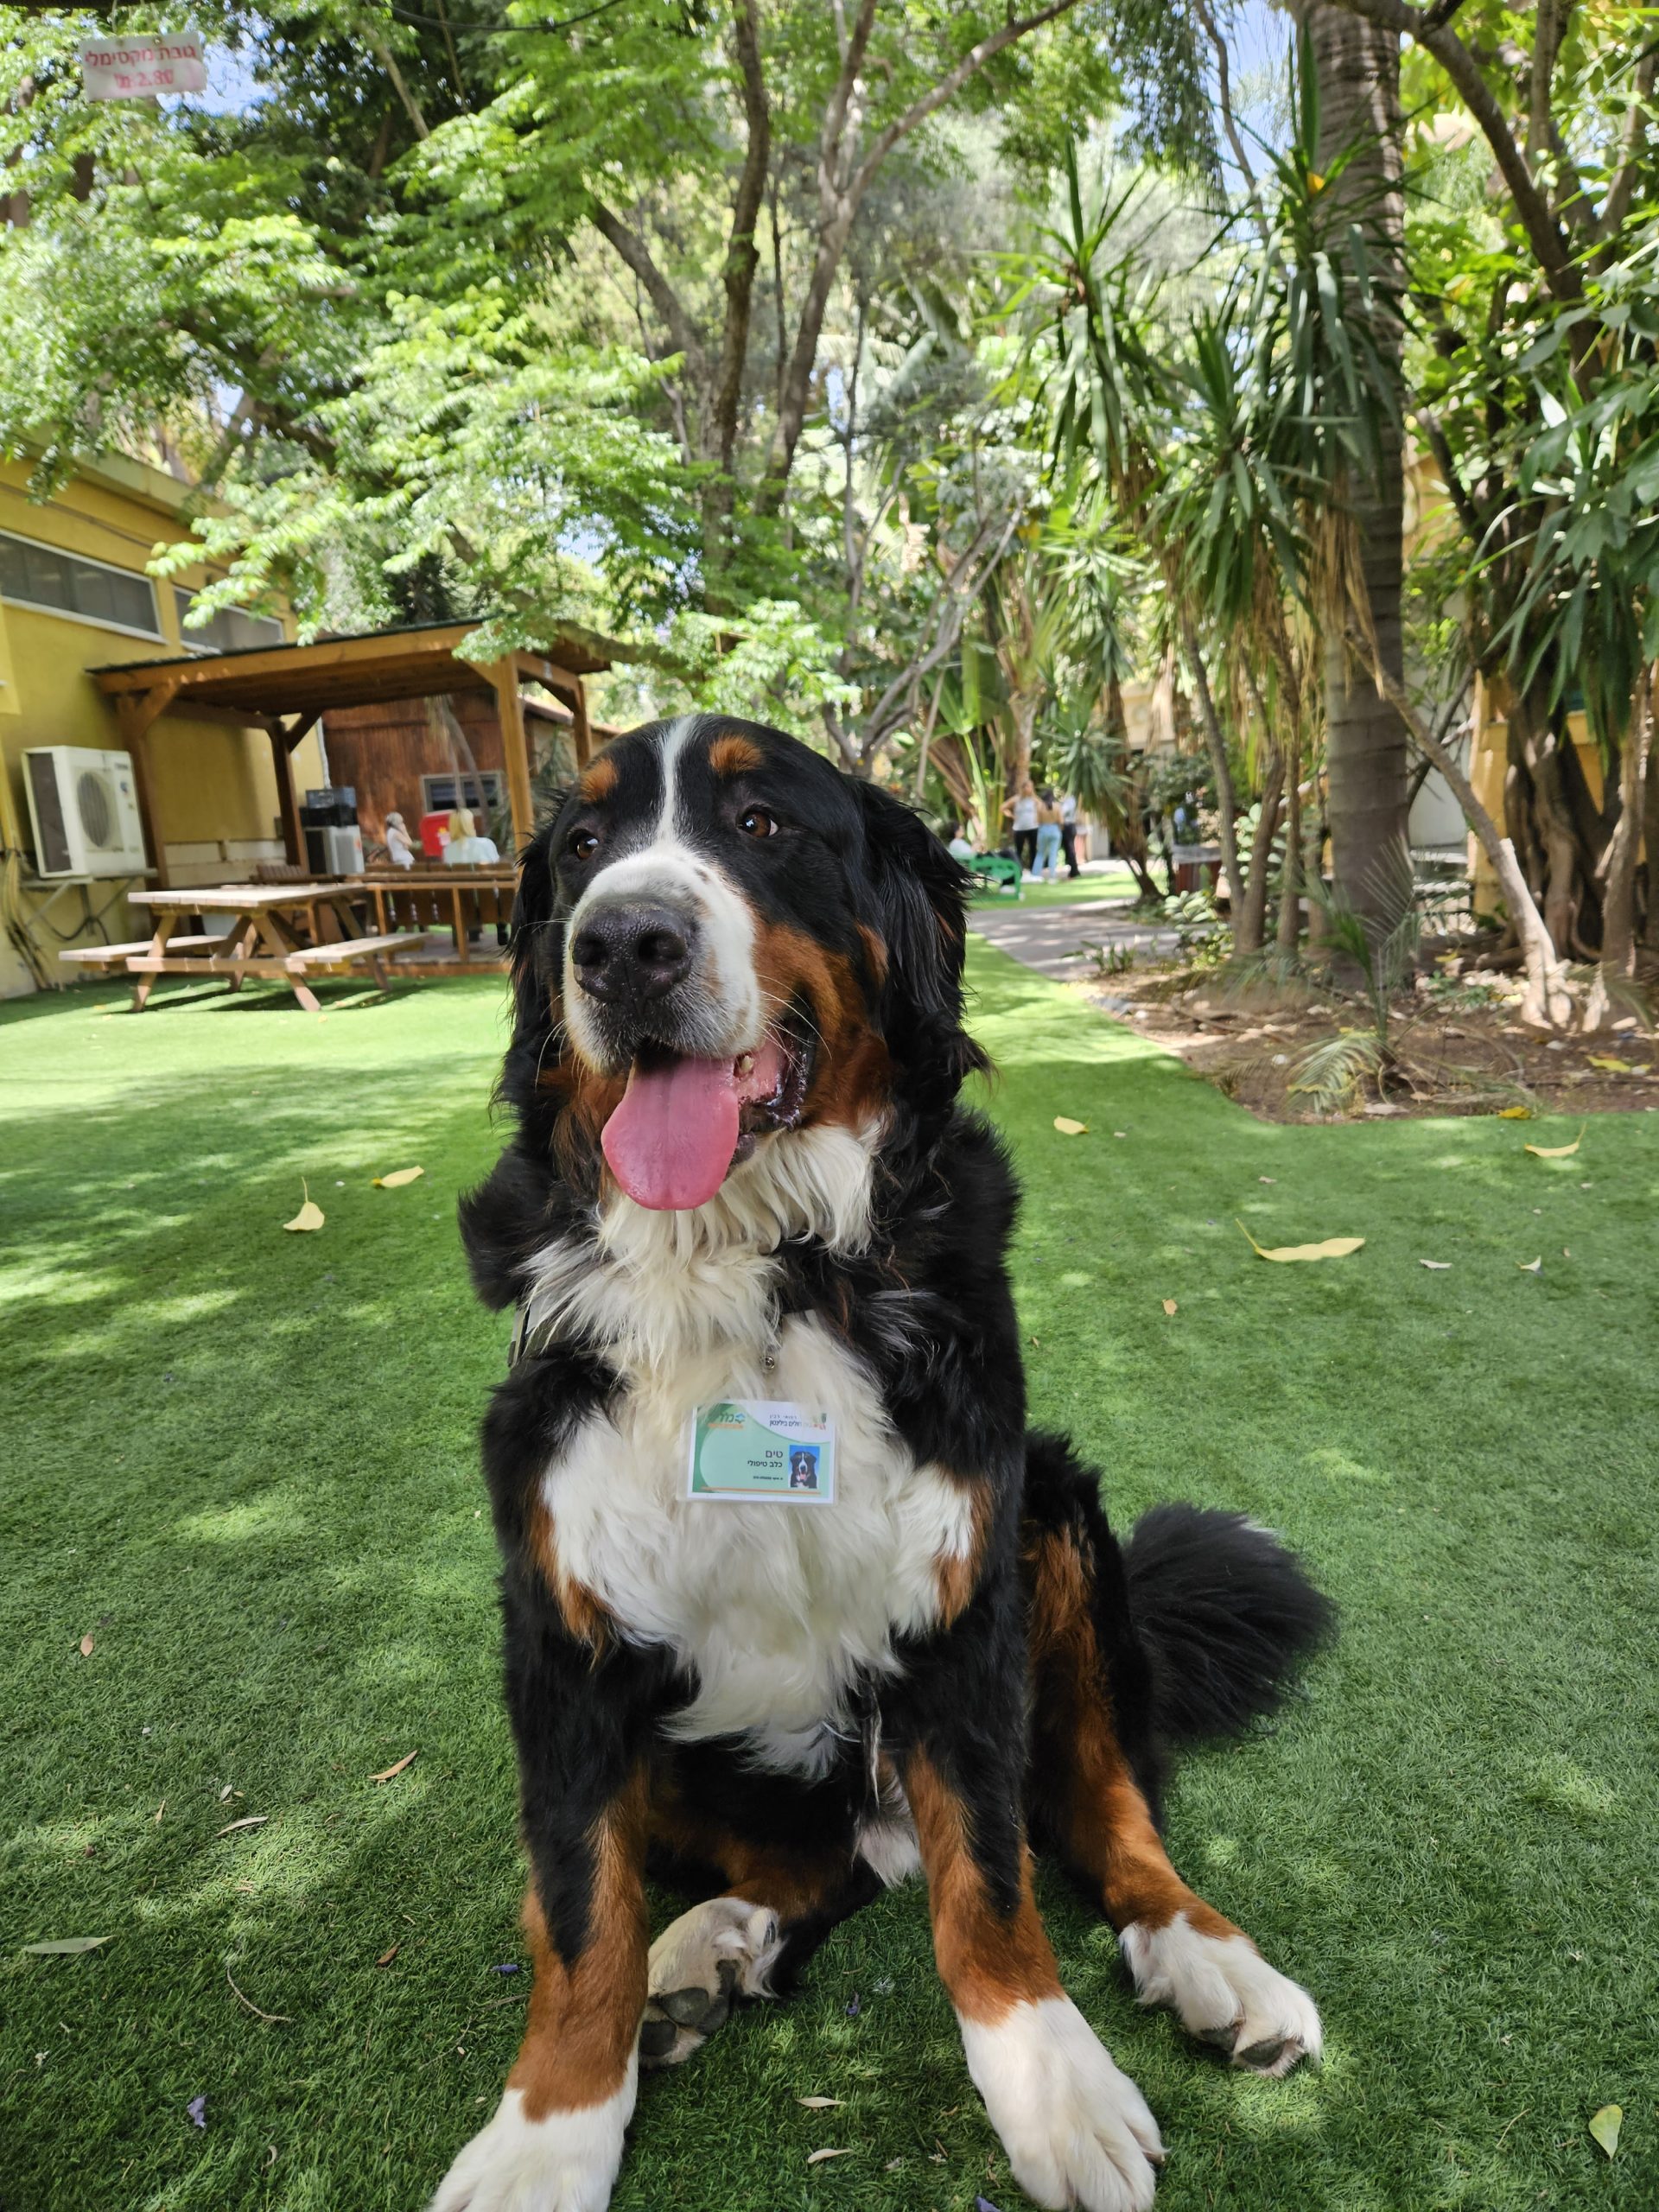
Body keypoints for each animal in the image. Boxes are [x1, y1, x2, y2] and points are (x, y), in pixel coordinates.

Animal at [435, 716, 1336, 2202]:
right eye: (582, 846)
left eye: (762, 824)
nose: (622, 944)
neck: (759, 1272)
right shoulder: (563, 1629)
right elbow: (575, 1911)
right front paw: (548, 2133)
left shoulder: (963, 1594)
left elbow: (994, 1877)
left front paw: (1053, 2084)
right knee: (814, 1865)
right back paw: (709, 1948)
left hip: (1058, 1518)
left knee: (1097, 1811)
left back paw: (1211, 1959)